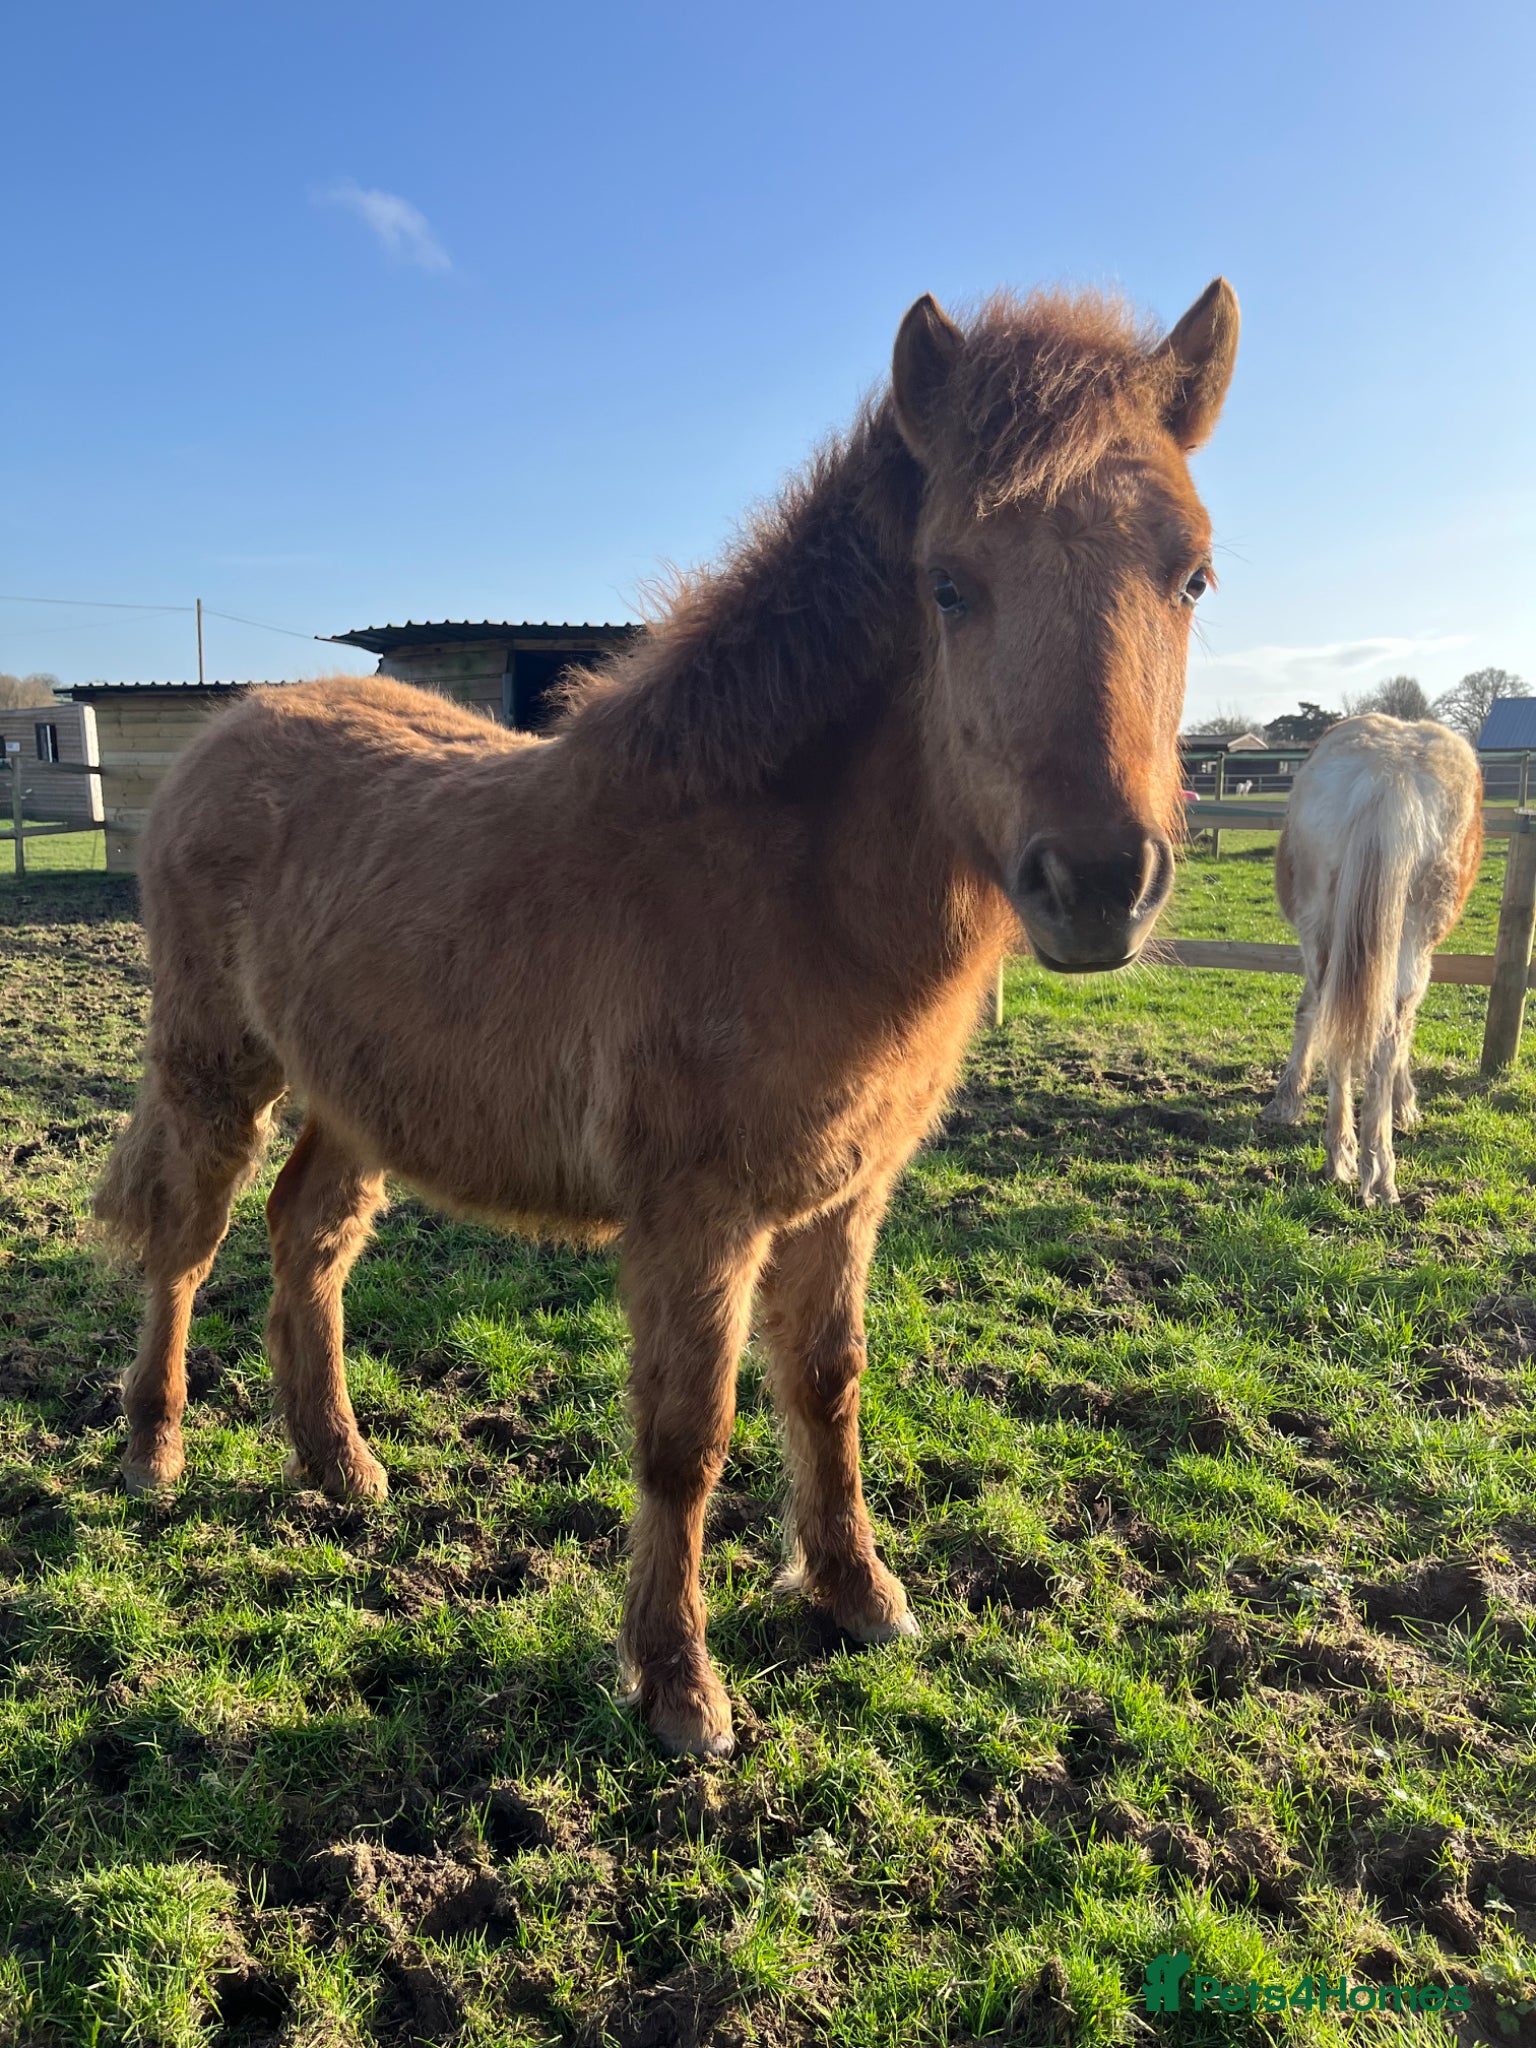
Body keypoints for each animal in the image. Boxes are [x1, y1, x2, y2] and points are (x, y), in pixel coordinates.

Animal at [95, 278, 1239, 1755]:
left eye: (1192, 573)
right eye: (949, 582)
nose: (1098, 882)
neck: (780, 880)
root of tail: (226, 735)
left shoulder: (842, 1197)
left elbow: (828, 1384)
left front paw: (858, 1595)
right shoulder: (698, 1216)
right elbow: (686, 1436)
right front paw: (679, 1684)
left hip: (357, 1092)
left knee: (310, 1240)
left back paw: (342, 1466)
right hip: (214, 1069)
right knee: (186, 1244)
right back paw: (153, 1452)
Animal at [1259, 714, 1482, 1204]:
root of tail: (1389, 774)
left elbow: (1310, 1014)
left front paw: (1287, 1100)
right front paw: (1405, 1105)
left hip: (1327, 933)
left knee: (1338, 1027)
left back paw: (1339, 1156)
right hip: (1410, 939)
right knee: (1387, 1034)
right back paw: (1378, 1173)